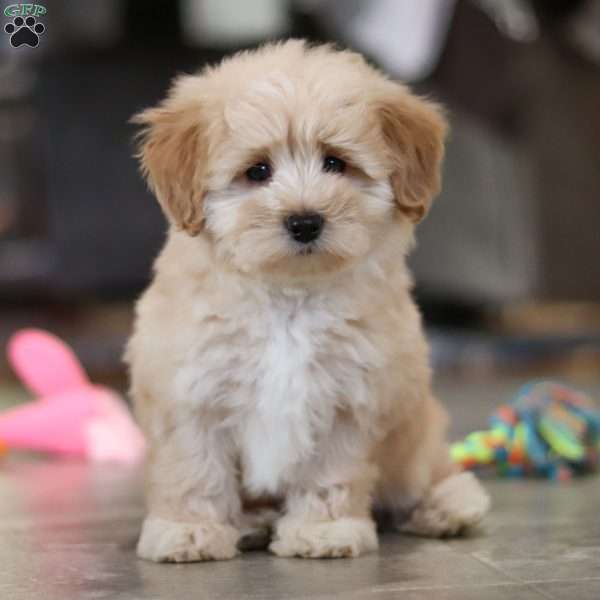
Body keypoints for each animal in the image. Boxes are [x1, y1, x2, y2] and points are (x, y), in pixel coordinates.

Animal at [126, 38, 488, 564]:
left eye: (335, 162)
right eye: (257, 171)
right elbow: (192, 468)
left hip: (415, 437)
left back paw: (447, 505)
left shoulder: (348, 395)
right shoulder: (191, 391)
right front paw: (188, 530)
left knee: (426, 473)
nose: (304, 221)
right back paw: (252, 522)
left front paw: (324, 531)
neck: (289, 296)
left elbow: (330, 470)